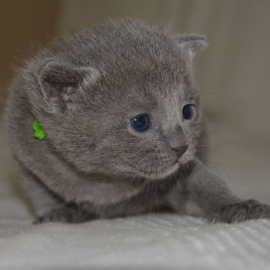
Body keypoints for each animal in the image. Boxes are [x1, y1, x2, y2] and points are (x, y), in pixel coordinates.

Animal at [4, 20, 270, 224]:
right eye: (140, 121)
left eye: (187, 112)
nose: (181, 146)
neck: (106, 179)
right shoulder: (28, 157)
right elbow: (41, 191)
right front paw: (57, 212)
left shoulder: (183, 172)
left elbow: (206, 185)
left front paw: (237, 206)